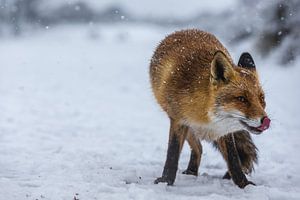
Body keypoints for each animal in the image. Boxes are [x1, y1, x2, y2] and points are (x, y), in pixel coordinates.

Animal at [150, 28, 270, 188]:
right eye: (241, 99)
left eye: (261, 99)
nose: (265, 120)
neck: (206, 115)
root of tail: (184, 30)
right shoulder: (178, 121)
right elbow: (172, 154)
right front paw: (166, 181)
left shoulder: (225, 130)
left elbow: (234, 160)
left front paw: (244, 185)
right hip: (185, 125)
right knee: (198, 148)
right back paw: (191, 172)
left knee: (199, 148)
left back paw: (192, 172)